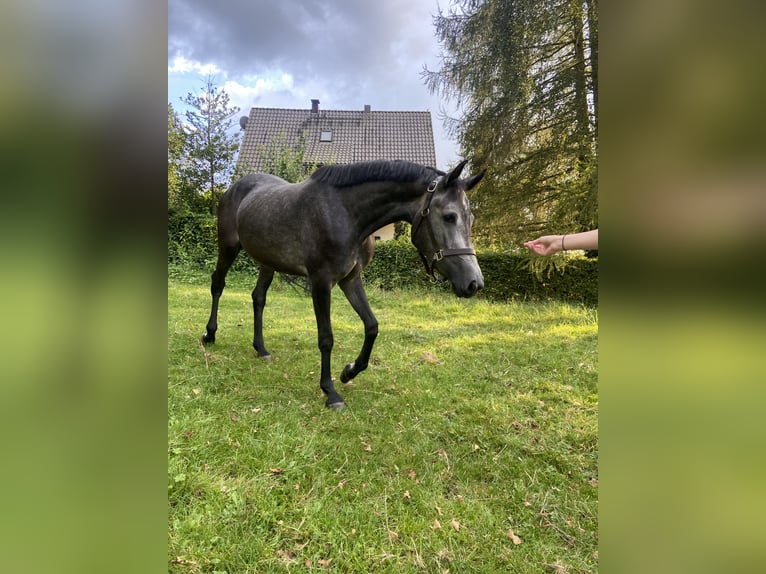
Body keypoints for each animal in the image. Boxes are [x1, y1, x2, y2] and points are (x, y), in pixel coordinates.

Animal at [201, 159, 484, 410]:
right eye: (449, 217)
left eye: (471, 219)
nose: (474, 283)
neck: (347, 214)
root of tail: (234, 188)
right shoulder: (321, 282)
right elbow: (326, 338)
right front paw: (330, 391)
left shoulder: (351, 279)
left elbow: (372, 326)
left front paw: (349, 371)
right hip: (228, 247)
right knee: (218, 285)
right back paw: (210, 334)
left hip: (267, 261)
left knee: (258, 297)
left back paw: (261, 349)